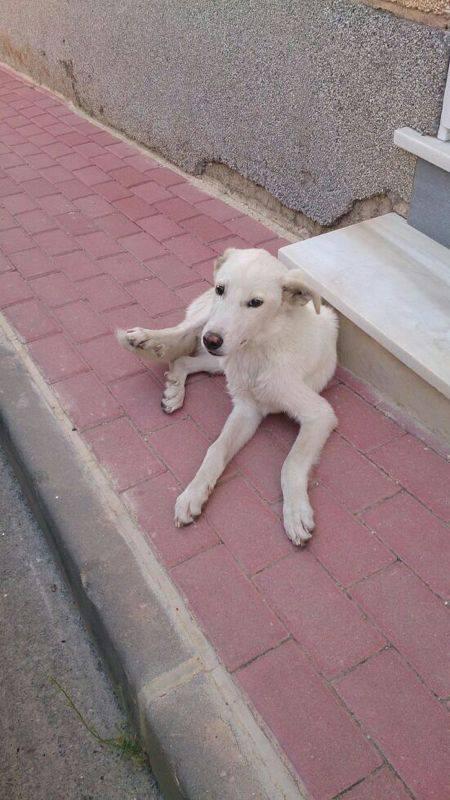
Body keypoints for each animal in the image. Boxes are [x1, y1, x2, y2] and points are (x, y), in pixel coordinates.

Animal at [119, 250, 338, 548]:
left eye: (255, 303)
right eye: (221, 289)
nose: (211, 340)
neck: (258, 351)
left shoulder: (318, 414)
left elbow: (291, 462)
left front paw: (295, 512)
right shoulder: (246, 409)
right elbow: (216, 449)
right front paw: (193, 493)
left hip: (219, 359)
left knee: (184, 359)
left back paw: (174, 386)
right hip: (208, 325)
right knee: (182, 337)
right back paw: (147, 340)